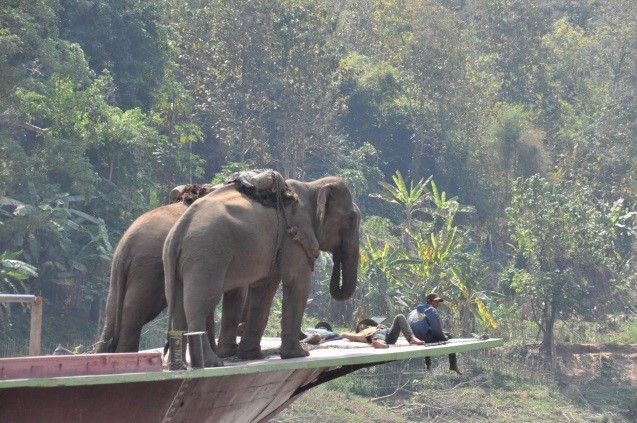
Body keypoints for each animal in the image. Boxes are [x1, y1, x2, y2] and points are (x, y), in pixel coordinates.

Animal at [164, 176, 360, 368]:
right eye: (352, 218)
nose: (335, 256)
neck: (311, 186)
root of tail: (179, 231)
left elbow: (265, 287)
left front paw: (251, 355)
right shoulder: (294, 231)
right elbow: (297, 282)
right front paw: (299, 354)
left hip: (178, 262)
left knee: (179, 310)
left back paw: (179, 365)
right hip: (206, 256)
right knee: (202, 303)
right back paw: (212, 363)